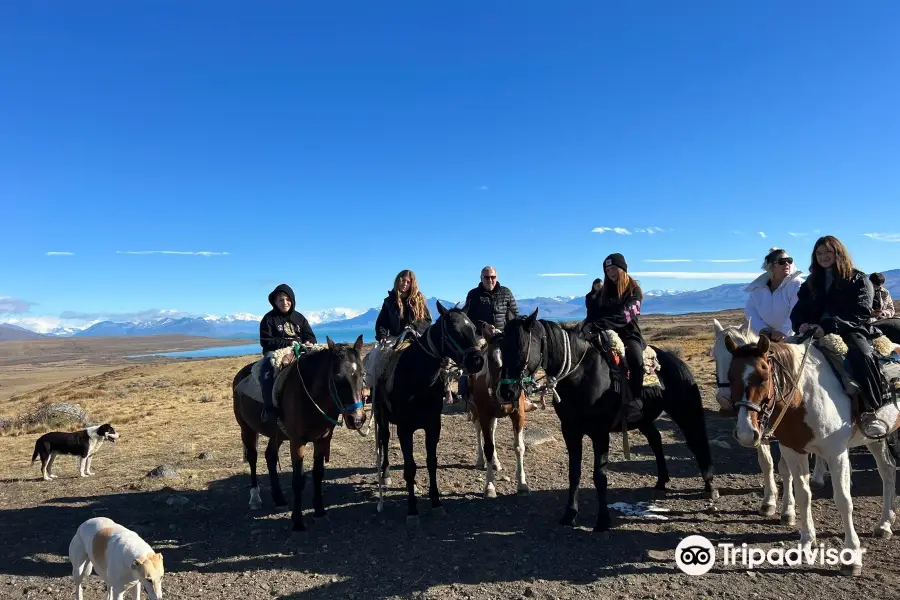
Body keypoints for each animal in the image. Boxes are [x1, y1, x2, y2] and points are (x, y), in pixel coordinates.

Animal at [236, 338, 370, 536]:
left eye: (362, 374)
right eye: (337, 377)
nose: (357, 419)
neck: (312, 398)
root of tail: (240, 376)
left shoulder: (323, 439)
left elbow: (318, 473)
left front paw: (320, 512)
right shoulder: (297, 442)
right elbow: (298, 480)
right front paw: (298, 521)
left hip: (277, 435)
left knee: (270, 456)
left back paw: (279, 499)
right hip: (247, 428)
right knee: (253, 457)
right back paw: (255, 498)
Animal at [372, 300, 486, 524]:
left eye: (473, 328)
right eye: (454, 330)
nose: (477, 360)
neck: (418, 379)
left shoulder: (433, 426)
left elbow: (431, 463)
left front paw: (436, 503)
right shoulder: (405, 429)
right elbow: (409, 468)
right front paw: (412, 510)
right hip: (382, 417)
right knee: (385, 440)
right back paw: (386, 474)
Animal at [468, 338, 532, 496]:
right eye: (491, 358)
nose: (507, 393)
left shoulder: (518, 414)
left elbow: (519, 446)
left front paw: (522, 484)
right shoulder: (484, 415)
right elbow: (488, 447)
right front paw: (490, 485)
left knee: (492, 432)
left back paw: (495, 463)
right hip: (475, 411)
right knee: (478, 431)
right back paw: (480, 461)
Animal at [492, 310, 716, 536]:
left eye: (522, 347)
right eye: (502, 347)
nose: (506, 392)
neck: (579, 375)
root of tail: (677, 362)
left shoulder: (600, 433)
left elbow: (600, 476)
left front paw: (602, 521)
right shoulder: (570, 431)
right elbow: (574, 473)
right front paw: (569, 515)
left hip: (685, 412)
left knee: (697, 442)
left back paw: (710, 487)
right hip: (643, 419)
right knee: (656, 439)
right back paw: (662, 480)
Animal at [716, 326, 900, 576]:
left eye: (763, 377)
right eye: (732, 376)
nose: (745, 433)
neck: (803, 396)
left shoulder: (836, 452)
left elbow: (843, 500)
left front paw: (851, 557)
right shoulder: (793, 450)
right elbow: (803, 494)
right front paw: (805, 542)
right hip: (876, 437)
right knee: (888, 470)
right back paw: (885, 524)